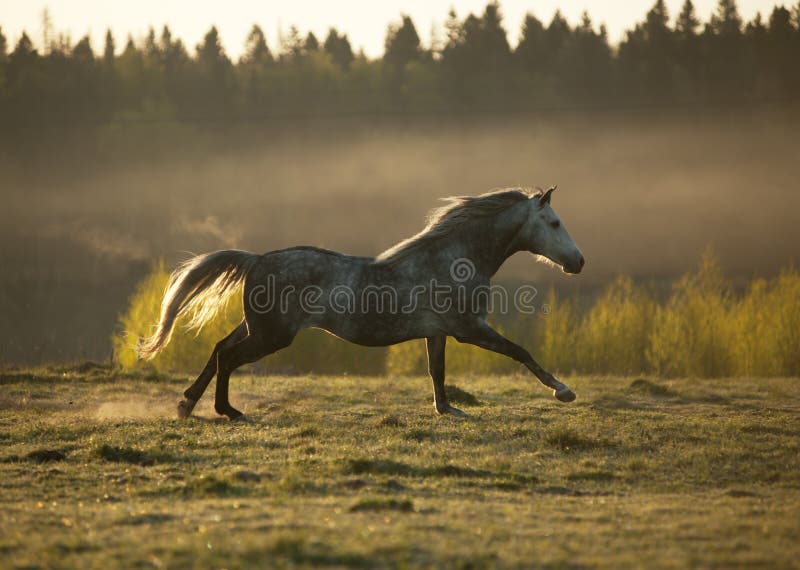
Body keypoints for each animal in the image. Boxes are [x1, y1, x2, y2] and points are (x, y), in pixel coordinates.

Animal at [141, 186, 584, 418]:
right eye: (554, 222)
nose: (578, 262)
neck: (455, 257)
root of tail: (257, 259)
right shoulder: (469, 329)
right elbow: (520, 352)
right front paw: (563, 391)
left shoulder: (438, 331)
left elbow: (437, 371)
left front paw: (446, 410)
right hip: (271, 336)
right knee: (227, 358)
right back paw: (227, 411)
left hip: (257, 327)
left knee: (219, 349)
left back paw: (186, 404)